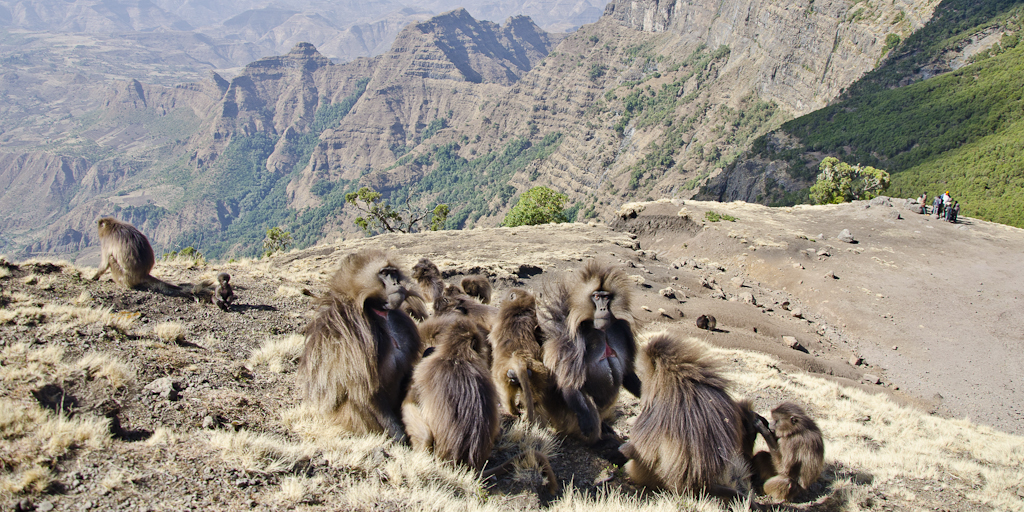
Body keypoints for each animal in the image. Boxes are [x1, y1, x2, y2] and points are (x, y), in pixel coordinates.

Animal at [299, 248, 421, 440]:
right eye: (384, 273)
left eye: (393, 272)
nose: (396, 282)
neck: (377, 312)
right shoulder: (352, 335)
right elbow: (363, 391)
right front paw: (400, 438)